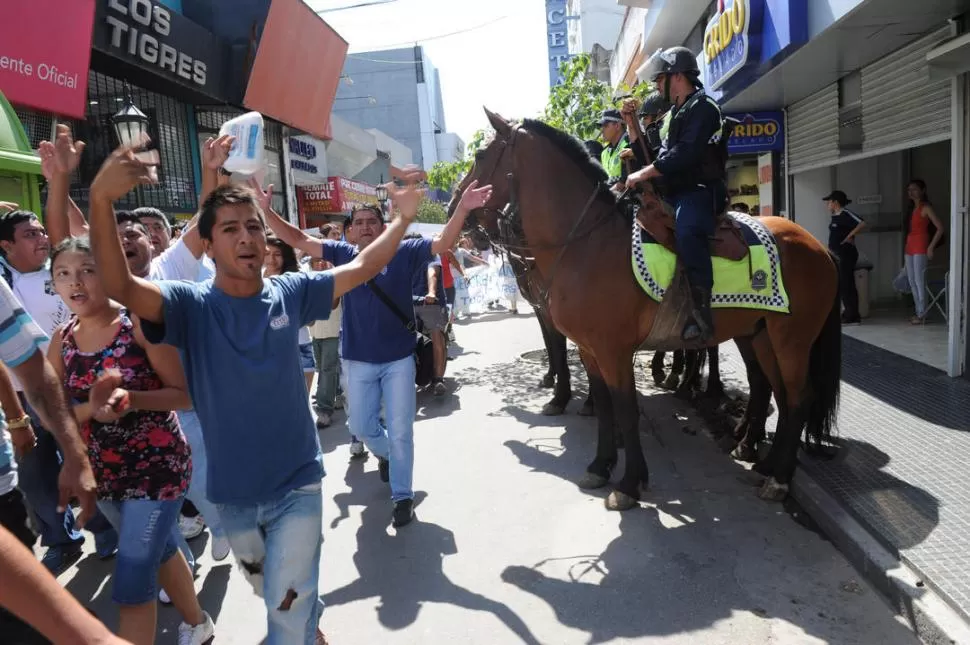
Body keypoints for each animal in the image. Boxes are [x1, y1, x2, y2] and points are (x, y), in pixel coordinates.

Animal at [454, 112, 840, 512]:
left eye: (480, 156)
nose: (455, 209)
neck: (587, 243)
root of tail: (817, 245)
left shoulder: (614, 351)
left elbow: (626, 410)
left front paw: (628, 482)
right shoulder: (589, 349)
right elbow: (604, 405)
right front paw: (600, 465)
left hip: (792, 340)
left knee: (800, 397)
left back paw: (778, 479)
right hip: (761, 335)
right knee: (778, 393)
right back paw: (765, 463)